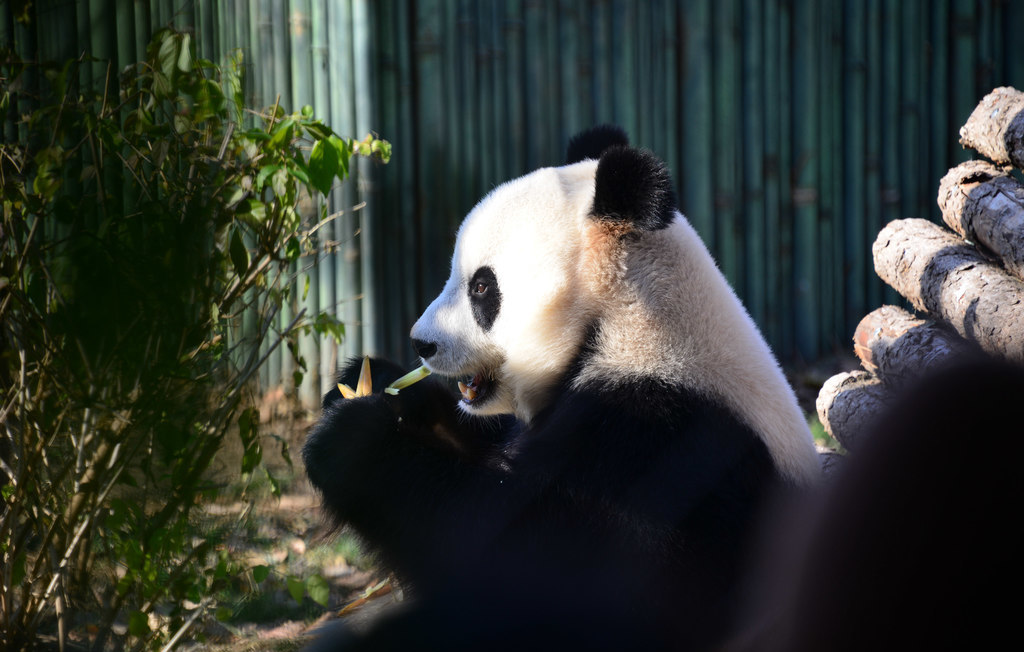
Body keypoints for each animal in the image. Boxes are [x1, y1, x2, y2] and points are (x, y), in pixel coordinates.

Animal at [299, 124, 819, 646]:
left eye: (481, 287)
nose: (421, 342)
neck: (623, 324)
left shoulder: (663, 436)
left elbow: (548, 568)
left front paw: (351, 440)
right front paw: (373, 384)